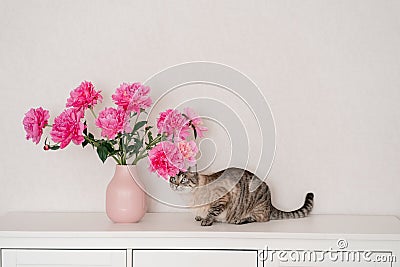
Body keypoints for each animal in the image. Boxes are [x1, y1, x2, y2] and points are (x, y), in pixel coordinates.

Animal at [169, 169, 312, 227]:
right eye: (173, 179)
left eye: (184, 180)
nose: (175, 185)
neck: (190, 200)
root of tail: (271, 204)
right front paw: (201, 217)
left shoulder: (222, 198)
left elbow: (212, 212)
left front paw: (207, 220)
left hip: (257, 208)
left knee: (259, 218)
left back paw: (239, 220)